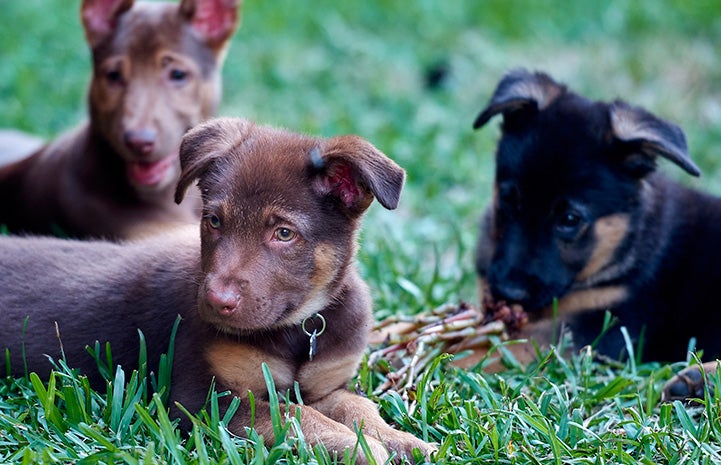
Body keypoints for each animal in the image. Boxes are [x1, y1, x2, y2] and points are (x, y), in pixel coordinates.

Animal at [0, 118, 434, 462]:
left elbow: (358, 406)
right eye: (213, 220)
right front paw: (359, 447)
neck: (298, 328)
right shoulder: (203, 398)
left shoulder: (328, 384)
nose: (214, 302)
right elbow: (294, 416)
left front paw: (405, 442)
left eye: (284, 233)